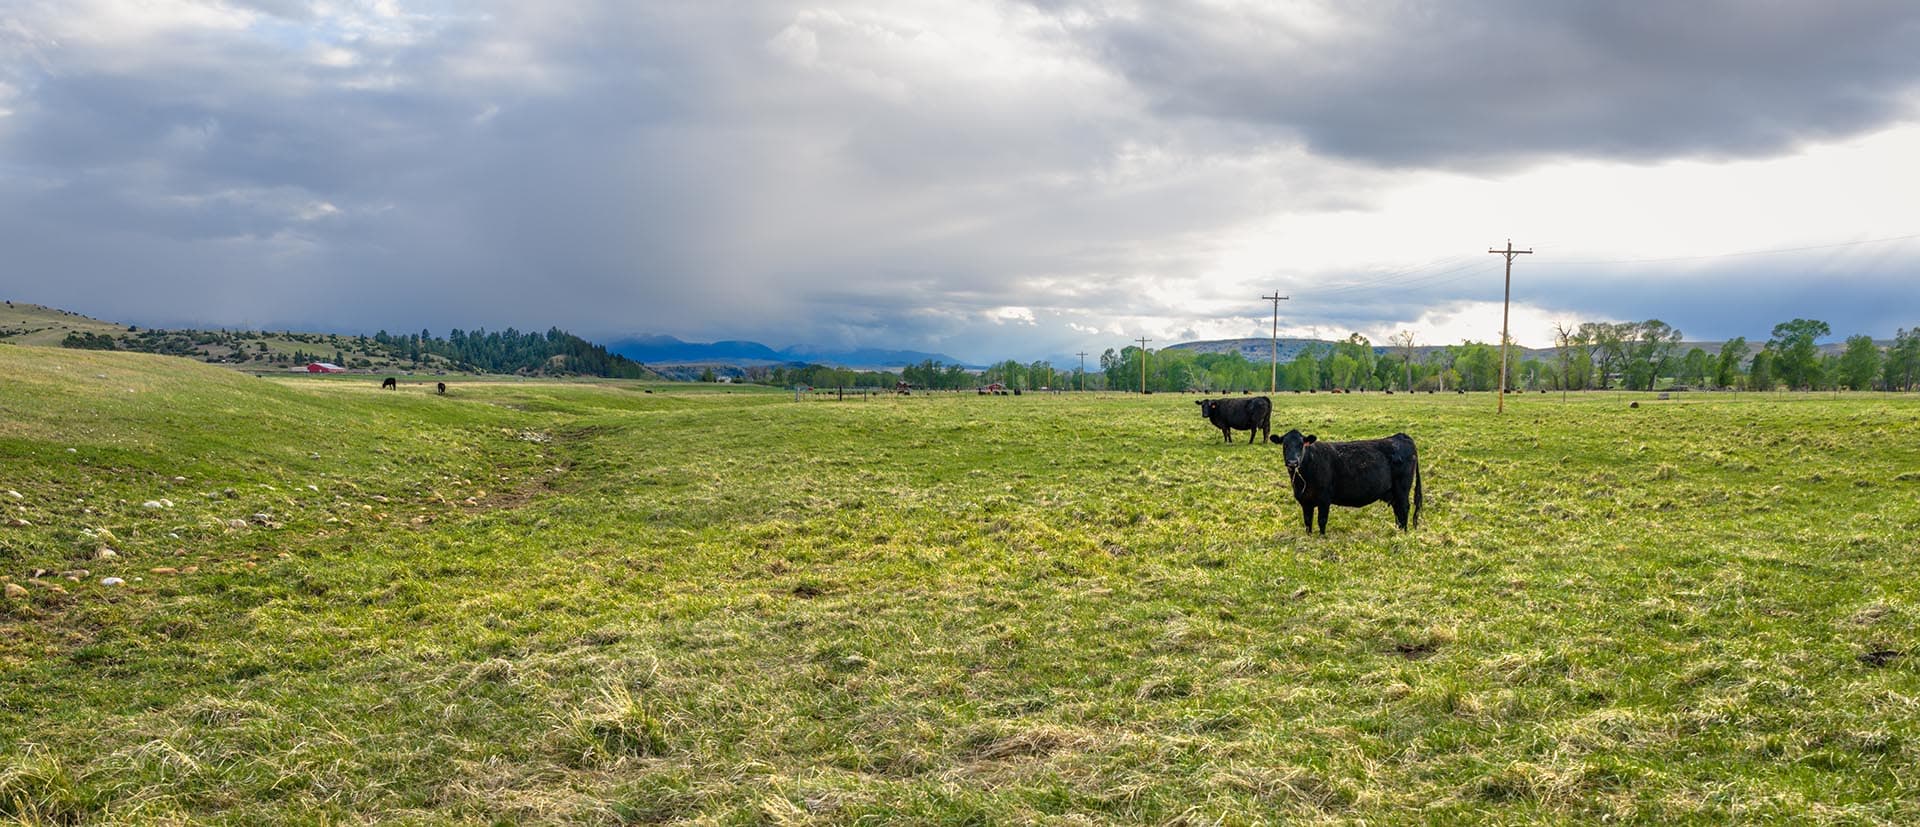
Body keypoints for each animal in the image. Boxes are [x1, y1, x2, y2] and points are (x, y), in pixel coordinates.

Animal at [1270, 428, 1422, 534]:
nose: (1292, 462)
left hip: (1402, 489)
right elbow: (1308, 522)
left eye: (1301, 445)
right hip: (1394, 492)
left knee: (1404, 508)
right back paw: (1398, 530)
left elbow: (1322, 521)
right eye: (1285, 445)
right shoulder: (1305, 501)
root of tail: (1400, 436)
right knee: (1398, 510)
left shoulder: (1324, 499)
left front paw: (1322, 537)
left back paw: (1403, 532)